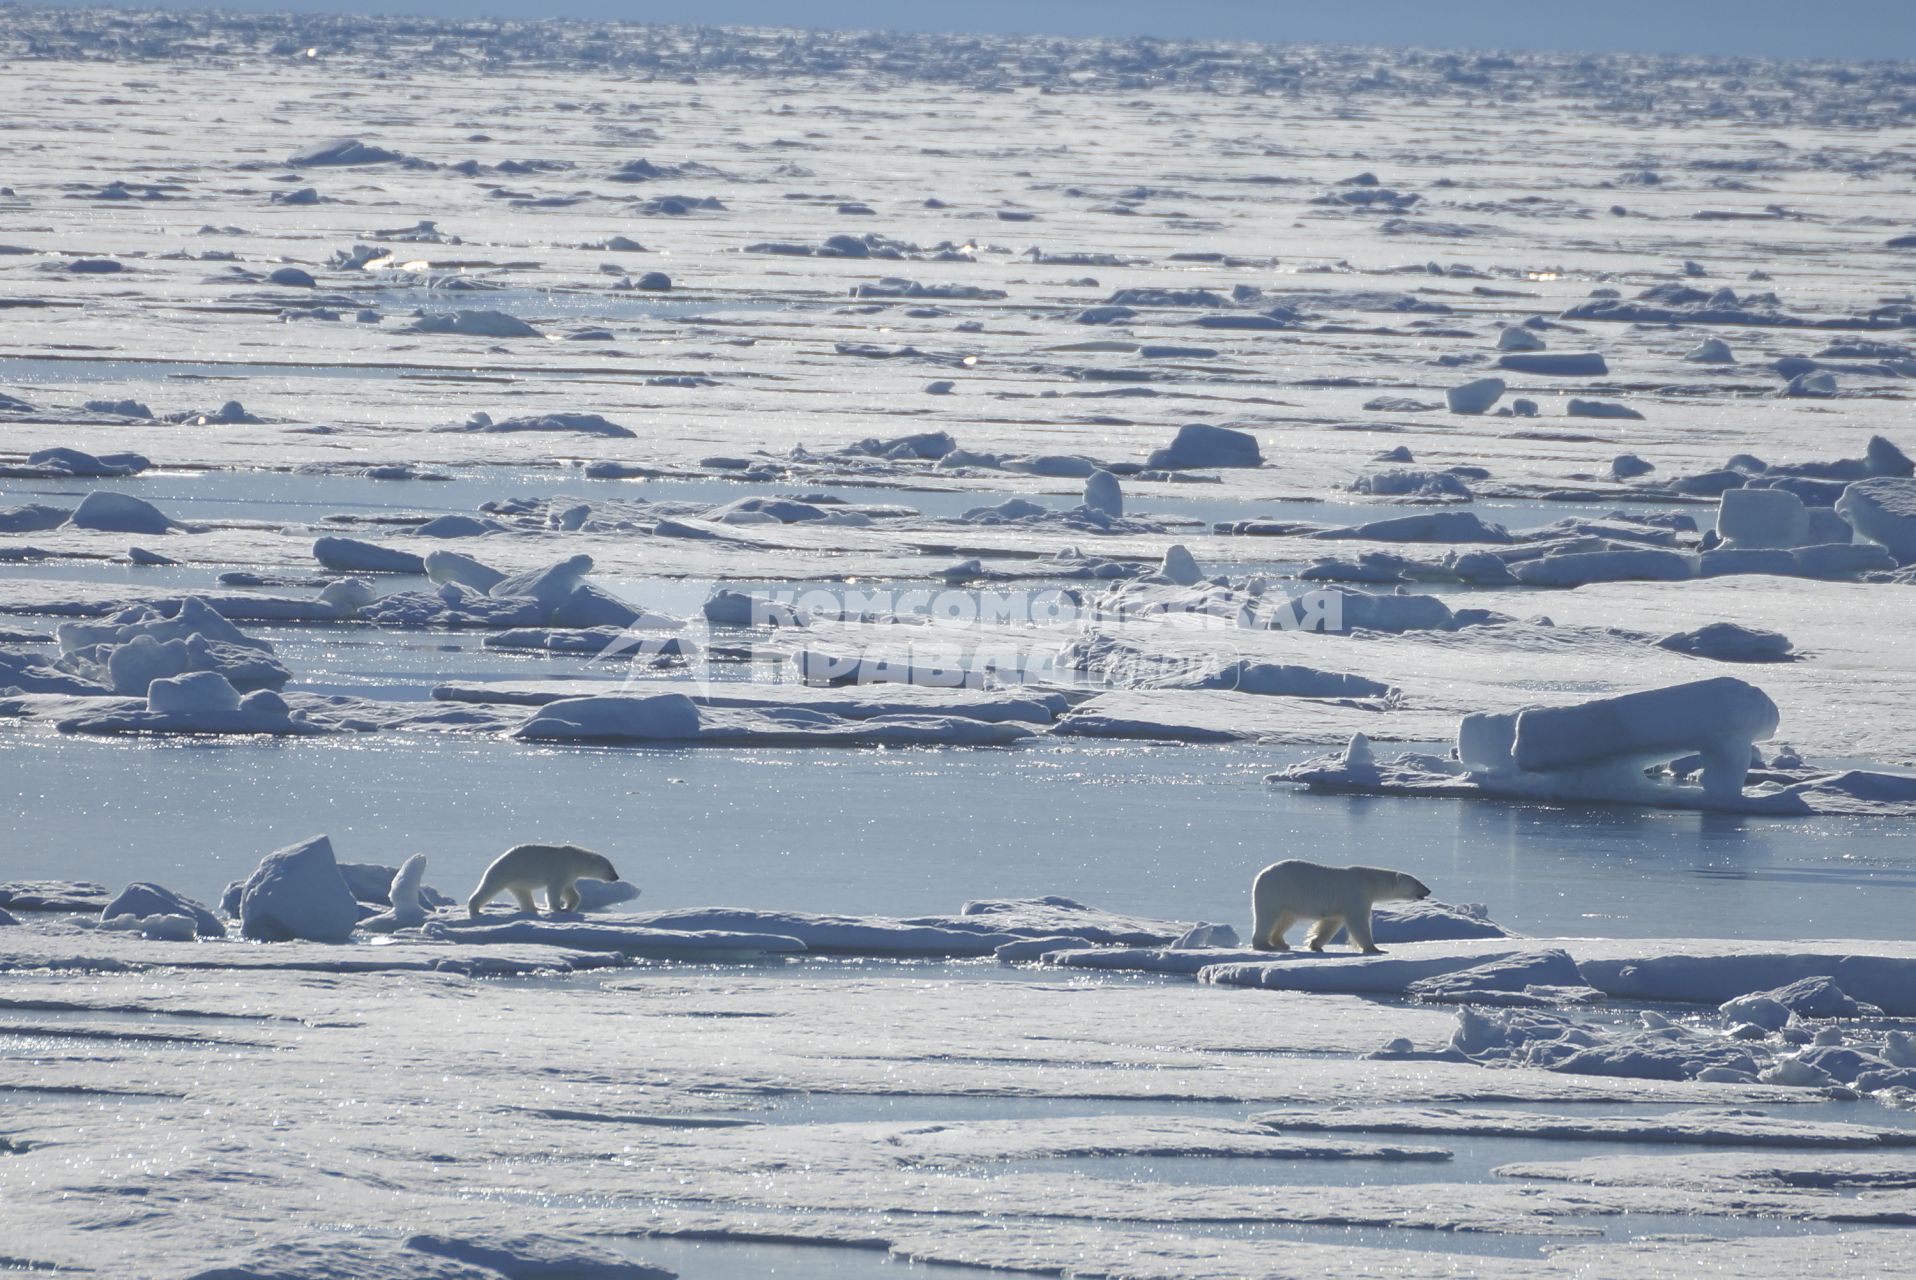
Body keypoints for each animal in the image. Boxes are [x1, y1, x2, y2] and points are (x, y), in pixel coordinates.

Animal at [465, 839, 620, 919]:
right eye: (610, 868)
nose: (616, 877)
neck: (576, 859)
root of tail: (497, 860)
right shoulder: (562, 867)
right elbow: (554, 889)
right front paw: (558, 908)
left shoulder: (570, 874)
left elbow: (570, 891)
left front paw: (569, 907)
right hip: (506, 872)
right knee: (489, 887)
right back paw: (475, 910)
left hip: (516, 881)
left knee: (523, 894)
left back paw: (534, 908)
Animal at [1249, 854, 1433, 954]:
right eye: (1417, 882)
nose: (1429, 890)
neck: (1369, 881)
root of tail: (1260, 875)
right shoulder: (1355, 895)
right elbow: (1359, 923)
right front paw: (1375, 949)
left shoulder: (1339, 905)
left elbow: (1331, 924)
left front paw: (1315, 945)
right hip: (1275, 891)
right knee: (1267, 917)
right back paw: (1265, 945)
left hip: (1287, 900)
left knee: (1286, 918)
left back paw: (1281, 943)